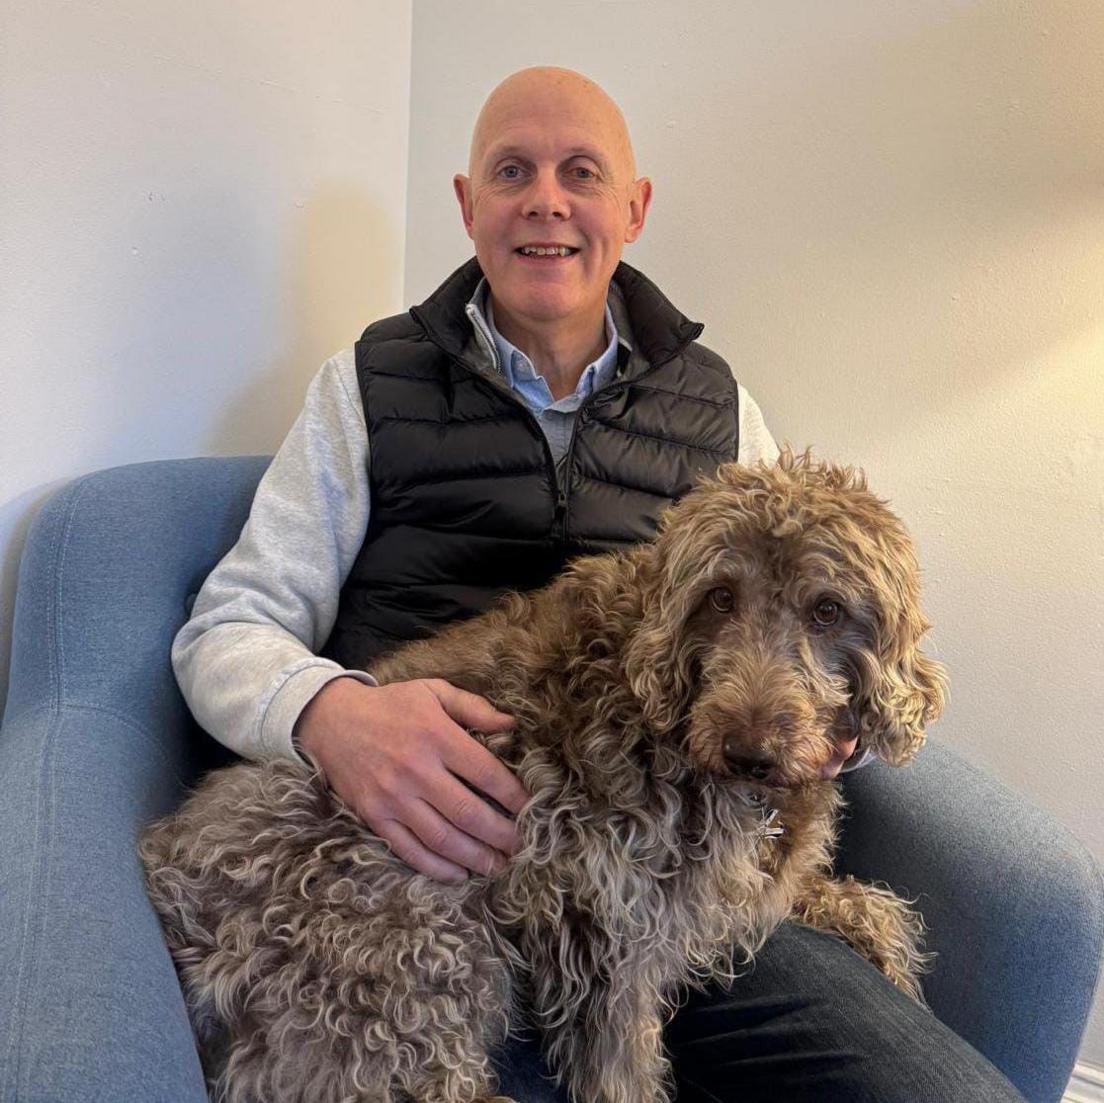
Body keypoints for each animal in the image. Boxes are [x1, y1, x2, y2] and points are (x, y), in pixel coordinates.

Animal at [140, 448, 949, 1103]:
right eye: (720, 597)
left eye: (827, 611)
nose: (749, 750)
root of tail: (170, 884)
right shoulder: (612, 932)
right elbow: (620, 1068)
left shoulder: (731, 893)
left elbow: (859, 902)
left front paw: (893, 955)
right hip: (416, 942)